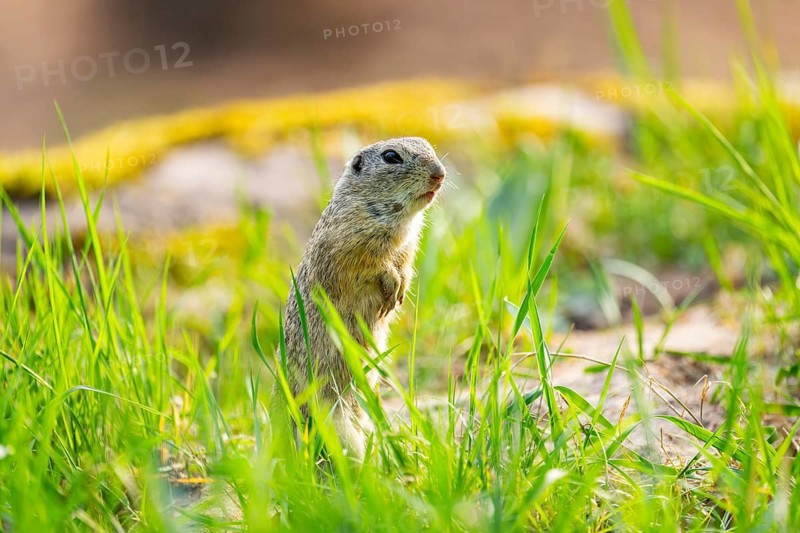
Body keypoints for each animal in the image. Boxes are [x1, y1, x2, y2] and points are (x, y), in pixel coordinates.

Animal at [279, 137, 446, 460]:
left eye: (428, 145)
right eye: (391, 157)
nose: (440, 173)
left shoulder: (408, 246)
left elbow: (404, 265)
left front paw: (400, 291)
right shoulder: (351, 244)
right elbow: (374, 265)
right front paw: (392, 285)